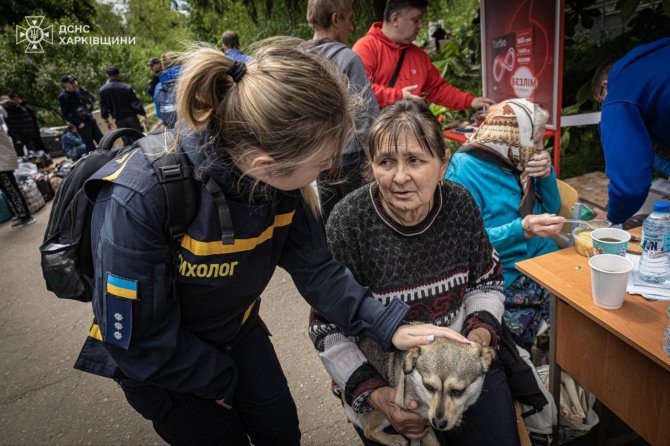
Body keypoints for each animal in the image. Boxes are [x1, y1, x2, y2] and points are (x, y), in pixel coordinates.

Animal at [346, 336, 494, 444]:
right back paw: (393, 440)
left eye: (458, 391)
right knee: (368, 431)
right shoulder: (418, 424)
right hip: (383, 415)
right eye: (428, 386)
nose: (438, 424)